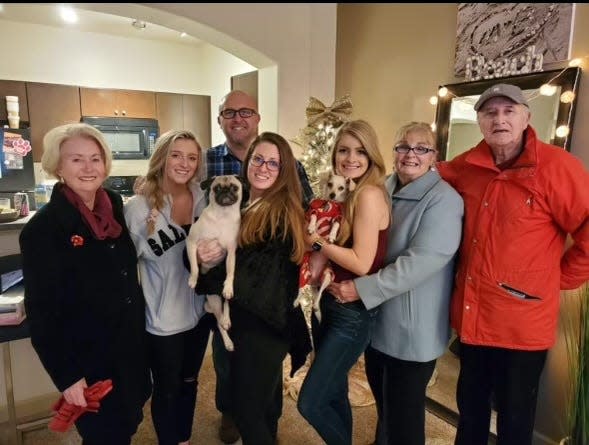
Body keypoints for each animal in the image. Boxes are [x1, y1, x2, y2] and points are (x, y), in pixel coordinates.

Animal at [188, 173, 243, 350]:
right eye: (217, 188)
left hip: (219, 300)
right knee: (219, 322)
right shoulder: (192, 243)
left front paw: (228, 286)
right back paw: (227, 337)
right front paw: (193, 279)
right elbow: (194, 267)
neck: (223, 216)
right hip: (214, 301)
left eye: (234, 187)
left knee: (225, 305)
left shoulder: (231, 253)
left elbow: (230, 273)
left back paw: (227, 321)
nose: (225, 191)